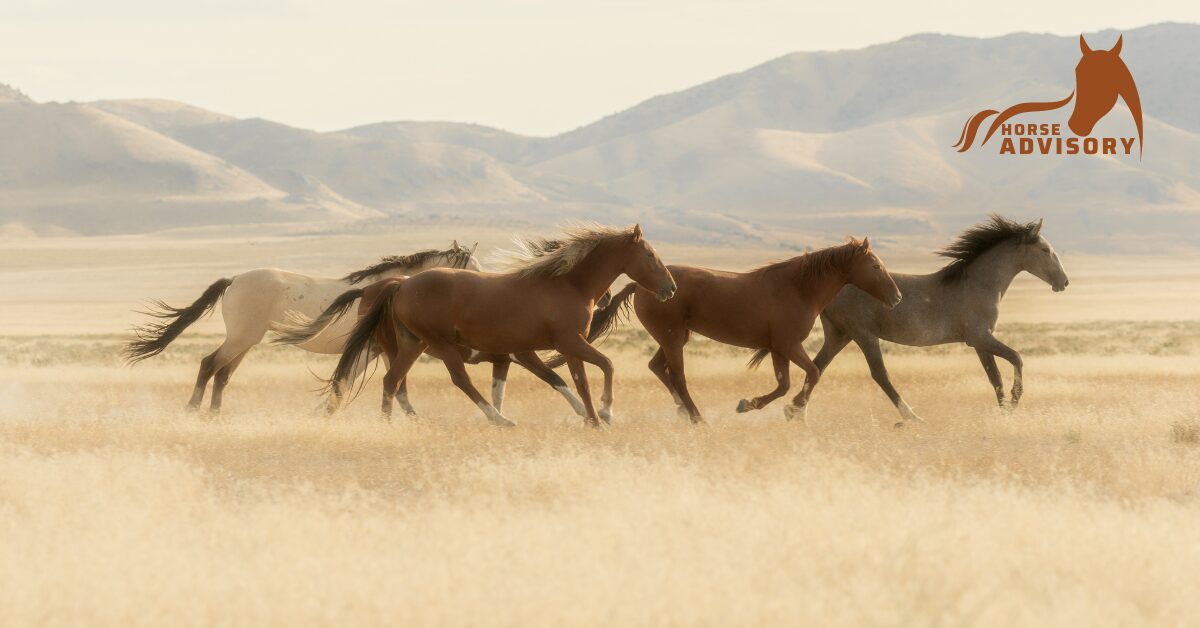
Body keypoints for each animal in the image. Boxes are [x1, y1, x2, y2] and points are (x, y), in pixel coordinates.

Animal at [278, 225, 676, 427]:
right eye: (650, 255)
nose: (670, 288)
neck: (565, 283)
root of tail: (400, 284)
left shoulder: (550, 348)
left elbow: (571, 381)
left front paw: (591, 418)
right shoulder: (565, 343)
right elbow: (603, 367)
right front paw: (605, 412)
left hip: (411, 344)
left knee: (392, 381)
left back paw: (389, 423)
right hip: (436, 345)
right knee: (457, 380)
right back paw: (496, 419)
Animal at [568, 238, 902, 425]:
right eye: (875, 266)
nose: (897, 297)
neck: (798, 288)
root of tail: (642, 286)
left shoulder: (779, 348)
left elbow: (784, 384)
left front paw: (751, 405)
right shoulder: (789, 345)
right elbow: (812, 374)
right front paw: (790, 408)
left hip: (675, 337)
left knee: (657, 367)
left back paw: (682, 411)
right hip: (672, 337)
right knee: (677, 376)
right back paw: (696, 417)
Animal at [748, 213, 1070, 425]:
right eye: (1045, 249)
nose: (1064, 282)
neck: (979, 284)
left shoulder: (979, 343)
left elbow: (995, 377)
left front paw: (1004, 411)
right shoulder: (981, 337)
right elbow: (1016, 358)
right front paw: (1014, 403)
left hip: (840, 335)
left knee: (817, 367)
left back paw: (794, 412)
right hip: (863, 334)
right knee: (879, 375)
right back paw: (911, 417)